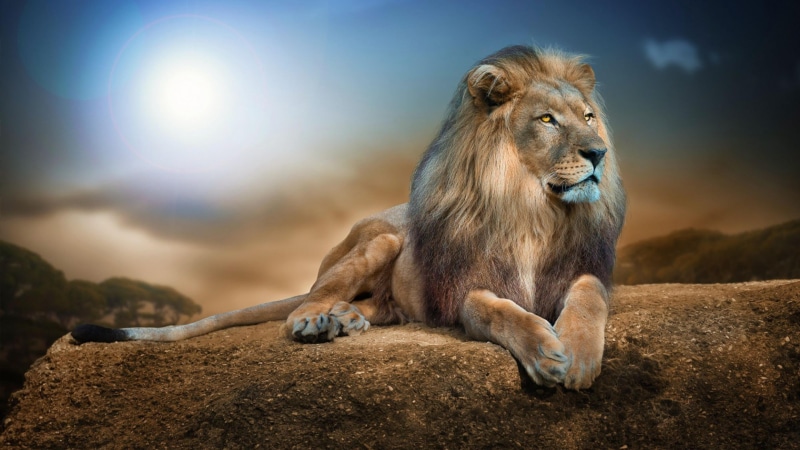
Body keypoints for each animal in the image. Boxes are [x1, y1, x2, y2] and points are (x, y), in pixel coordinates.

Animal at [73, 45, 626, 390]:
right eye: (547, 120)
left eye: (589, 117)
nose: (598, 153)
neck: (533, 210)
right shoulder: (465, 289)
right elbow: (500, 311)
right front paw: (545, 351)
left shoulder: (582, 269)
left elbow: (588, 297)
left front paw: (577, 354)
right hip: (380, 241)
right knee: (307, 301)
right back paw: (318, 321)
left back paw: (347, 319)